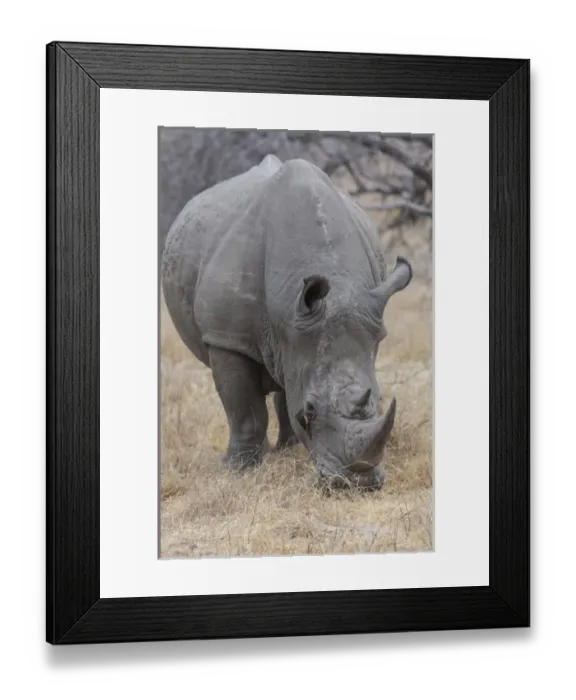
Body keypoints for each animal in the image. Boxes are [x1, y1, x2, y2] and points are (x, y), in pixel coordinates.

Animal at [161, 155, 412, 489]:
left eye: (381, 400)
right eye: (310, 411)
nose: (357, 483)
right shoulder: (226, 337)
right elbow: (243, 408)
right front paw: (238, 470)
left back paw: (287, 449)